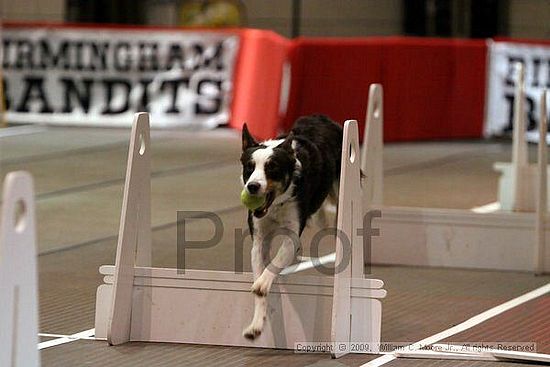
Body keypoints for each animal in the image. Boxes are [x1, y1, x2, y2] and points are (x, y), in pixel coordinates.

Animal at [243, 114, 344, 340]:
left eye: (272, 168)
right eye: (249, 168)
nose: (252, 186)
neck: (277, 203)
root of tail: (322, 117)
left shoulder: (293, 230)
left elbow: (277, 260)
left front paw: (262, 283)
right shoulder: (259, 237)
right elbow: (261, 266)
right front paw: (255, 325)